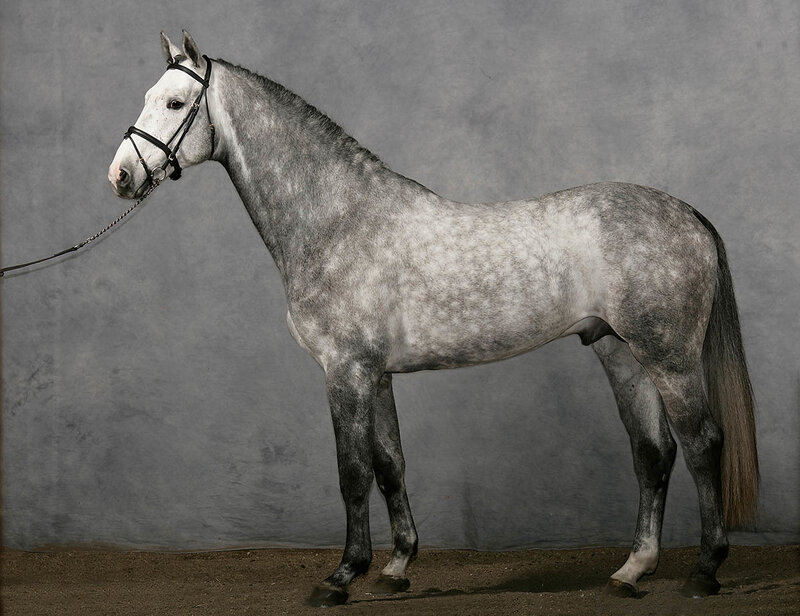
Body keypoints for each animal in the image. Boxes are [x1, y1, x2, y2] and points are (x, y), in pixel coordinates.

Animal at [108, 31, 758, 606]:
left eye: (174, 103)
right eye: (147, 95)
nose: (121, 175)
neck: (340, 221)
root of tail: (687, 214)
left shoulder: (345, 371)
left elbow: (351, 472)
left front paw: (341, 577)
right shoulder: (376, 374)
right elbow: (389, 464)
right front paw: (397, 568)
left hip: (669, 357)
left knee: (702, 444)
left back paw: (704, 570)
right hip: (621, 352)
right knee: (653, 452)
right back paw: (631, 571)